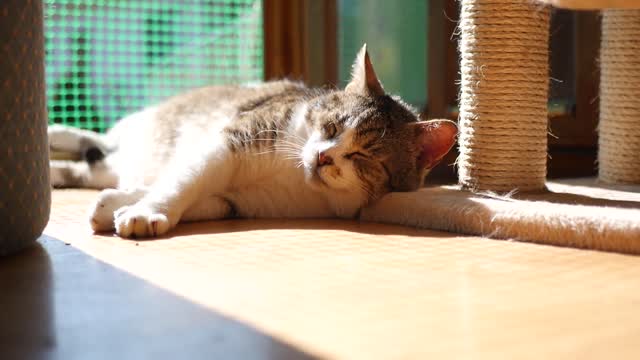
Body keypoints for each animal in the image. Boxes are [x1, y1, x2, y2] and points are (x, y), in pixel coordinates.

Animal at [50, 45, 460, 238]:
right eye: (330, 128)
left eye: (365, 155)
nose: (324, 157)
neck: (295, 175)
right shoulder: (231, 140)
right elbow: (182, 182)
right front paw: (145, 211)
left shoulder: (242, 201)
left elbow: (202, 197)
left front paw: (119, 205)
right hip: (142, 126)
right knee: (102, 139)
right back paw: (56, 132)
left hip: (109, 165)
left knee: (95, 164)